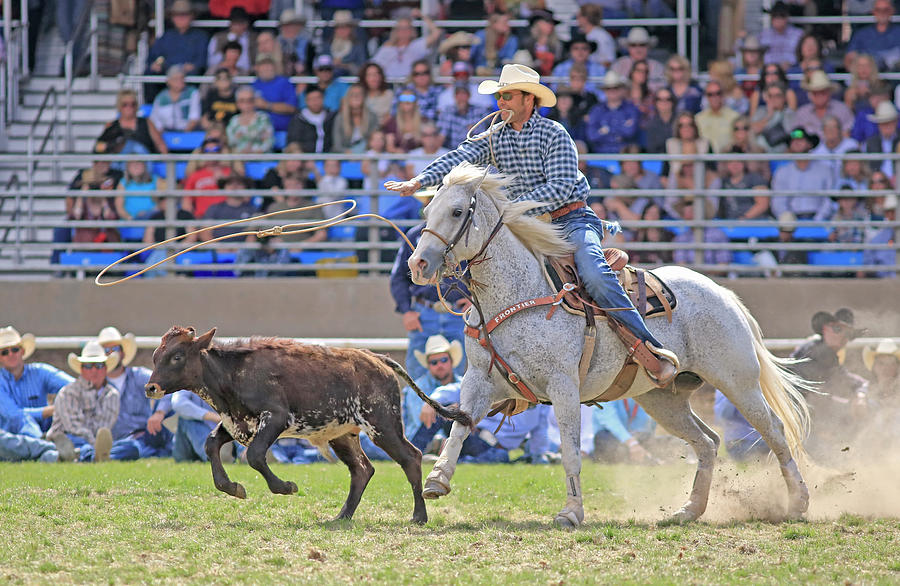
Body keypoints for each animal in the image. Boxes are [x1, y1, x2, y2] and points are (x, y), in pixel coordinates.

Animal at [412, 162, 812, 528]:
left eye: (457, 211)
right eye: (426, 212)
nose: (418, 264)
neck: (518, 292)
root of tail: (722, 292)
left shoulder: (563, 385)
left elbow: (571, 451)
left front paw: (571, 513)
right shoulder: (479, 379)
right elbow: (459, 428)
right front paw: (437, 480)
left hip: (737, 380)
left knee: (774, 430)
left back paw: (797, 502)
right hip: (662, 398)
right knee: (707, 441)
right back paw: (689, 510)